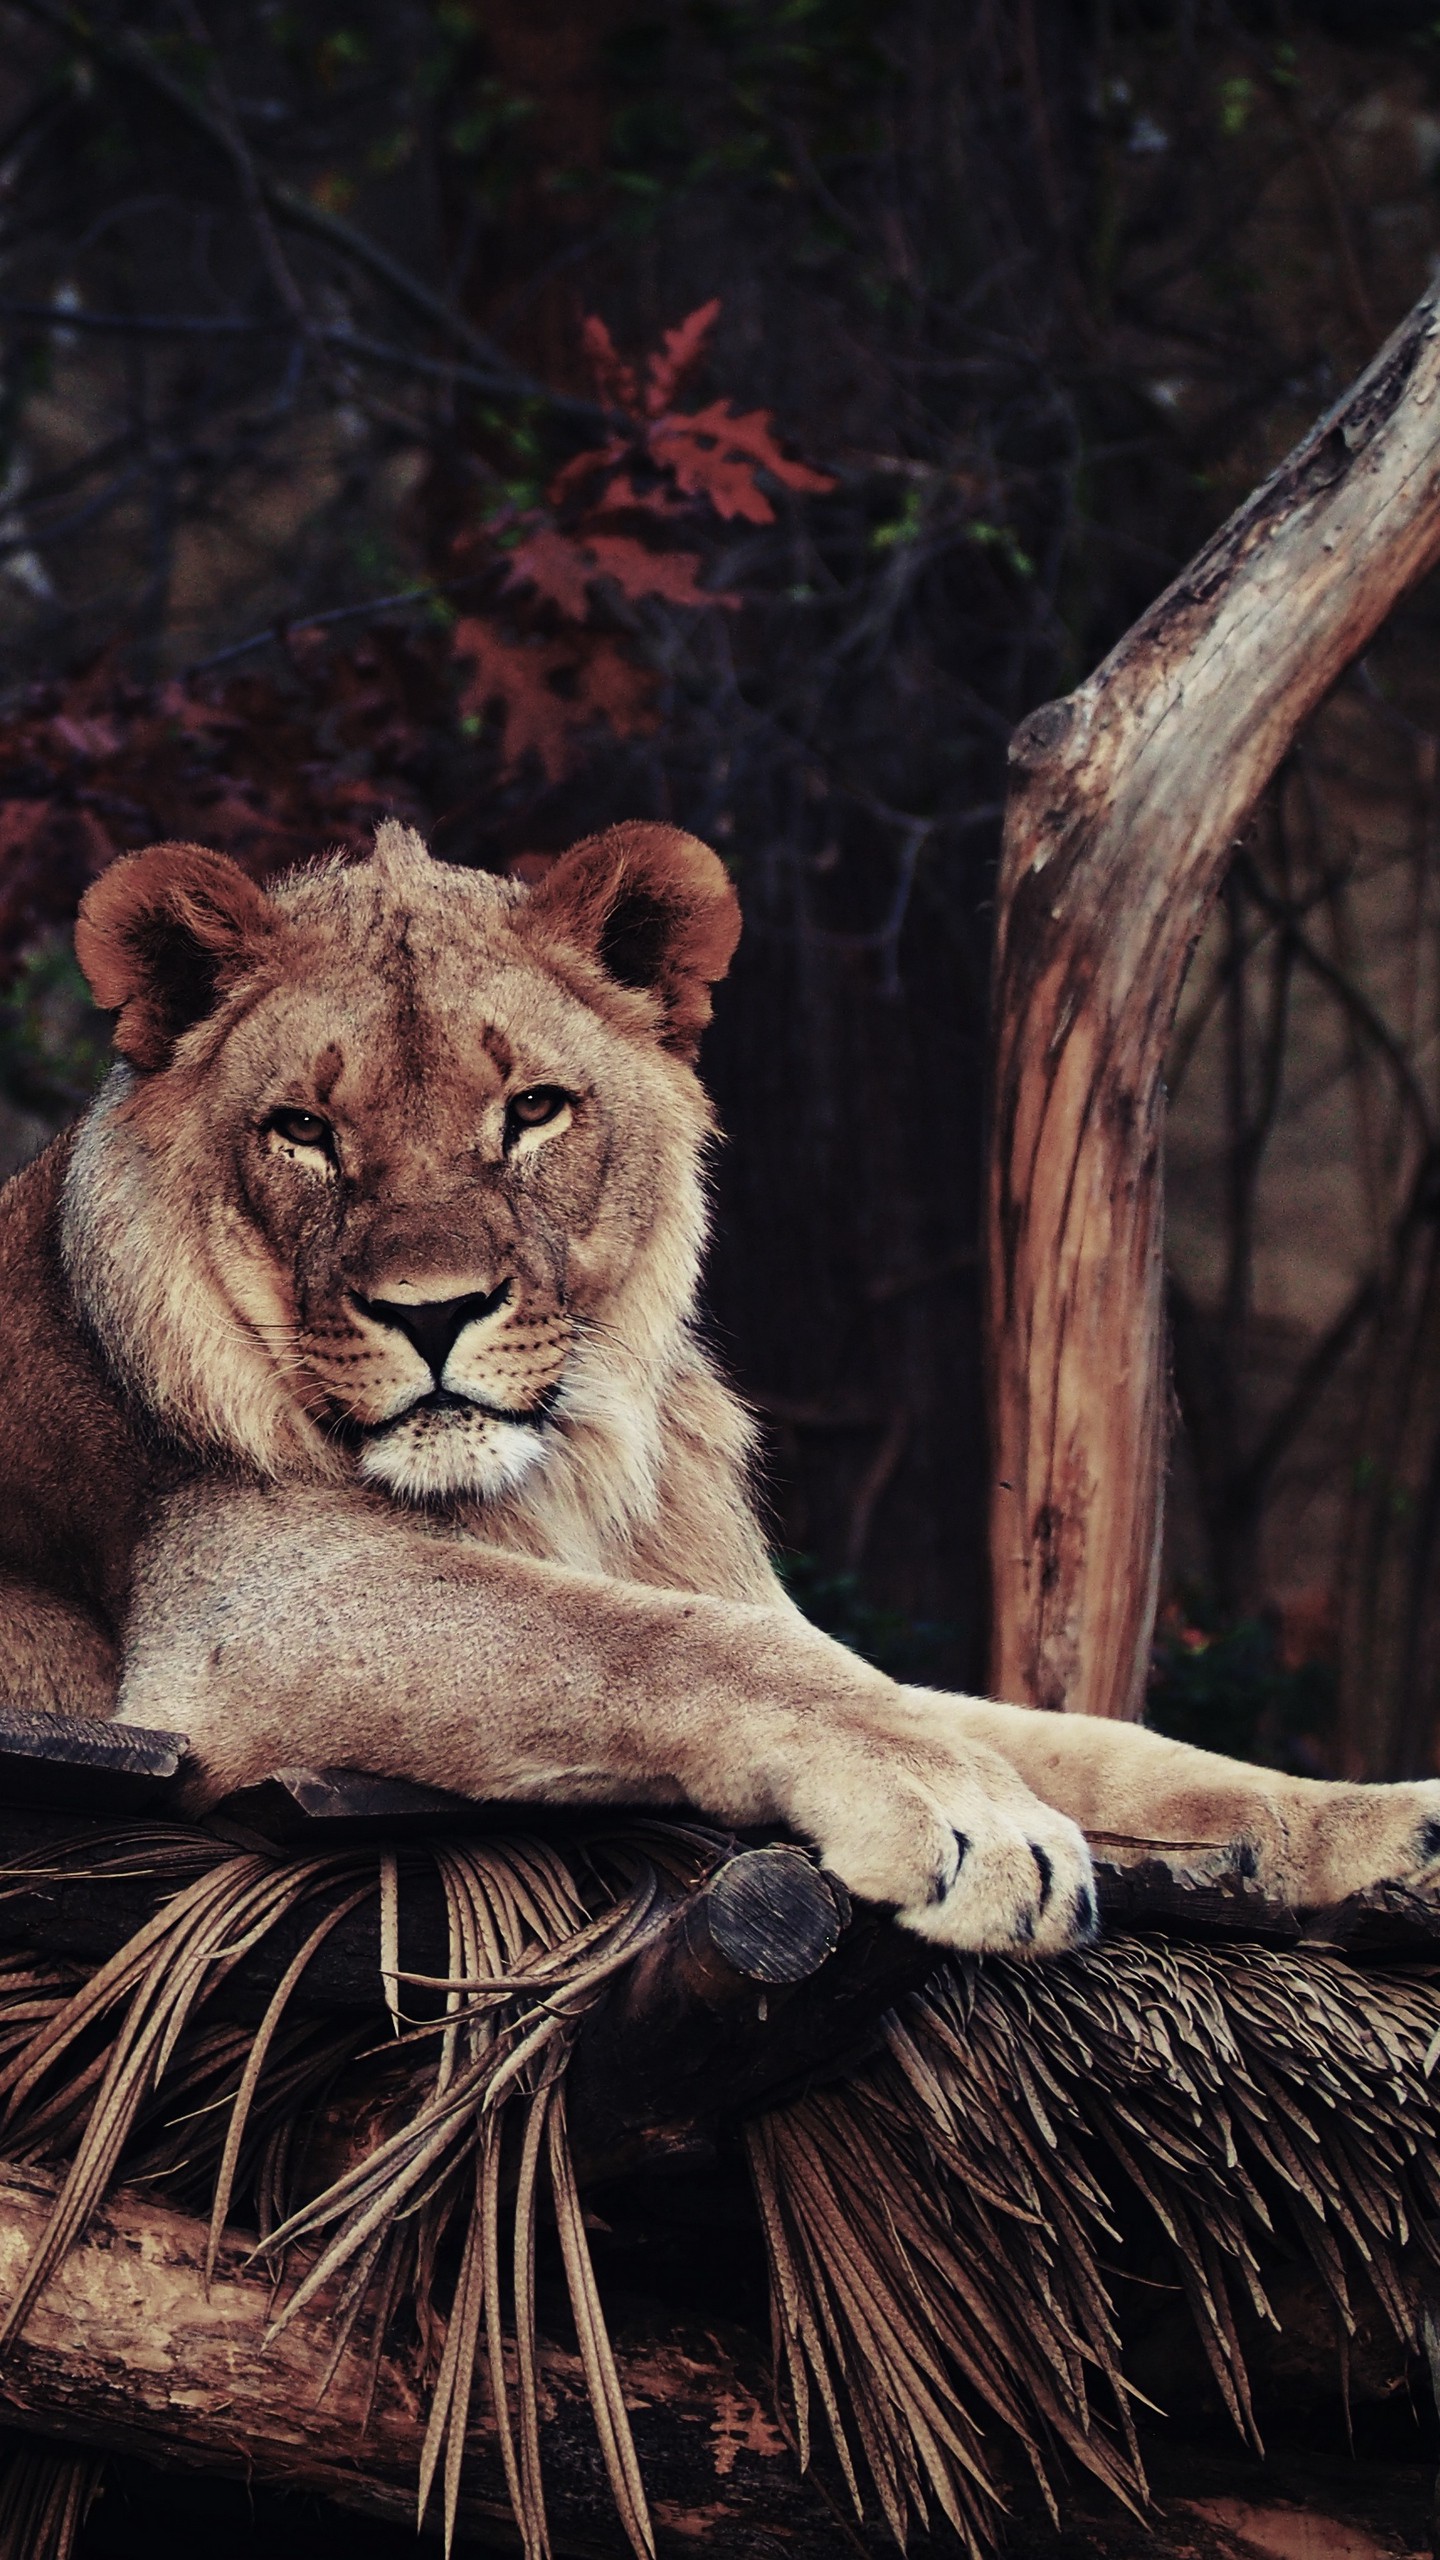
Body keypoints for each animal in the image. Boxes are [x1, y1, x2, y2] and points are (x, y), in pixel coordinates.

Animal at [0, 815, 1436, 1955]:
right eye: (301, 1130)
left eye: (534, 1110)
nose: (434, 1312)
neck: (564, 1474)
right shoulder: (243, 1617)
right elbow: (671, 1643)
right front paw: (973, 1820)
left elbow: (1064, 1733)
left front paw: (1378, 1822)